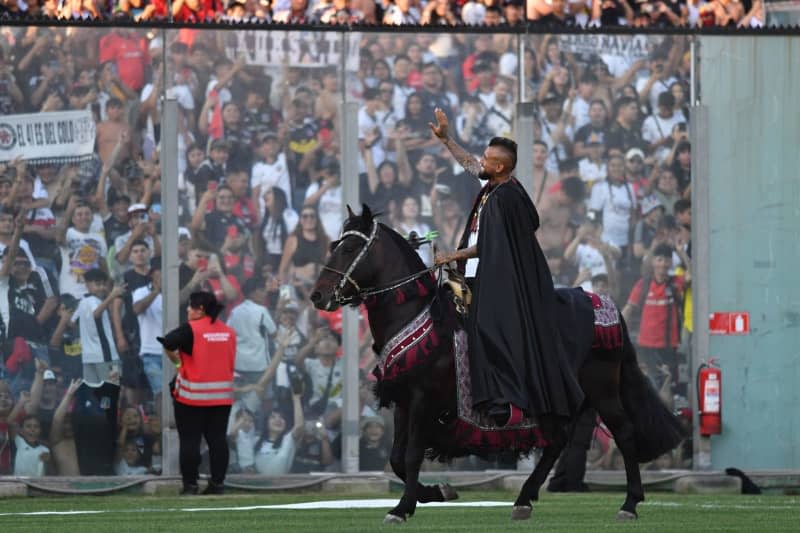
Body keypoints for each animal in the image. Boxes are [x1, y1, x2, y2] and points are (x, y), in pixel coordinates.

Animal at [310, 206, 684, 520]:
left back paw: (629, 504)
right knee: (558, 441)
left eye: (348, 249)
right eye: (334, 244)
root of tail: (605, 304)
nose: (317, 296)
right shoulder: (404, 400)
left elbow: (412, 454)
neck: (416, 312)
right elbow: (398, 460)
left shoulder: (422, 399)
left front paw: (402, 508)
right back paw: (524, 499)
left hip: (602, 388)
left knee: (624, 433)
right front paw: (437, 492)